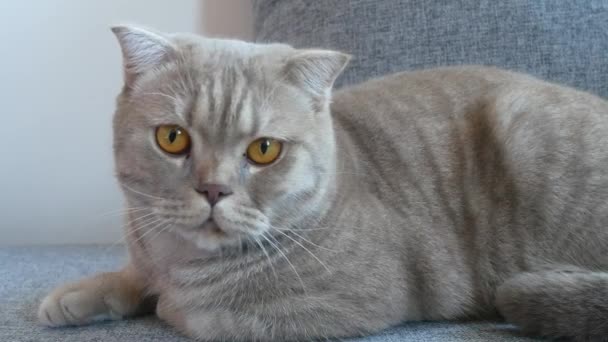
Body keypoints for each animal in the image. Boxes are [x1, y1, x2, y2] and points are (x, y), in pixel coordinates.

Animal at [36, 25, 608, 340]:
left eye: (263, 150)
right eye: (172, 138)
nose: (213, 190)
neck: (180, 261)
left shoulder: (347, 302)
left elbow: (197, 312)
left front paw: (164, 302)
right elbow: (131, 275)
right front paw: (81, 293)